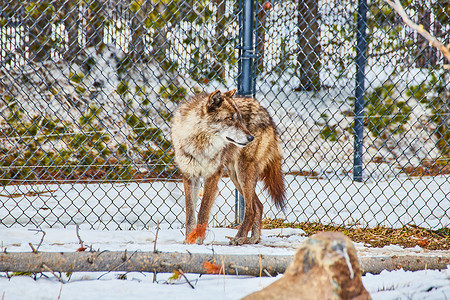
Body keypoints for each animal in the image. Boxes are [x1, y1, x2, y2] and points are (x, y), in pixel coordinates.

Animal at [171, 88, 286, 244]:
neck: (199, 143)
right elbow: (190, 214)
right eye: (230, 118)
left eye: (240, 119)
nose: (251, 138)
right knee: (259, 206)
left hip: (243, 173)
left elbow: (202, 212)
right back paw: (253, 239)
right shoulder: (190, 176)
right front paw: (189, 240)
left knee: (251, 209)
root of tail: (264, 111)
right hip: (235, 176)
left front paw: (198, 240)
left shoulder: (212, 176)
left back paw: (240, 237)